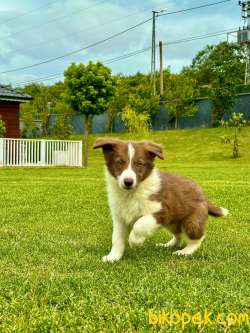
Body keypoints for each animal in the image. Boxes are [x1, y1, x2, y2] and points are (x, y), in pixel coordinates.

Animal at [93, 137, 228, 262]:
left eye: (140, 163)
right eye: (119, 162)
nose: (128, 181)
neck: (131, 193)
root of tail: (205, 197)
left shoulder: (162, 211)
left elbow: (140, 224)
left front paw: (135, 240)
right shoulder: (119, 217)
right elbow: (116, 238)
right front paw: (113, 257)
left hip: (191, 221)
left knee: (198, 237)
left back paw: (185, 251)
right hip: (172, 223)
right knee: (178, 235)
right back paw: (168, 245)